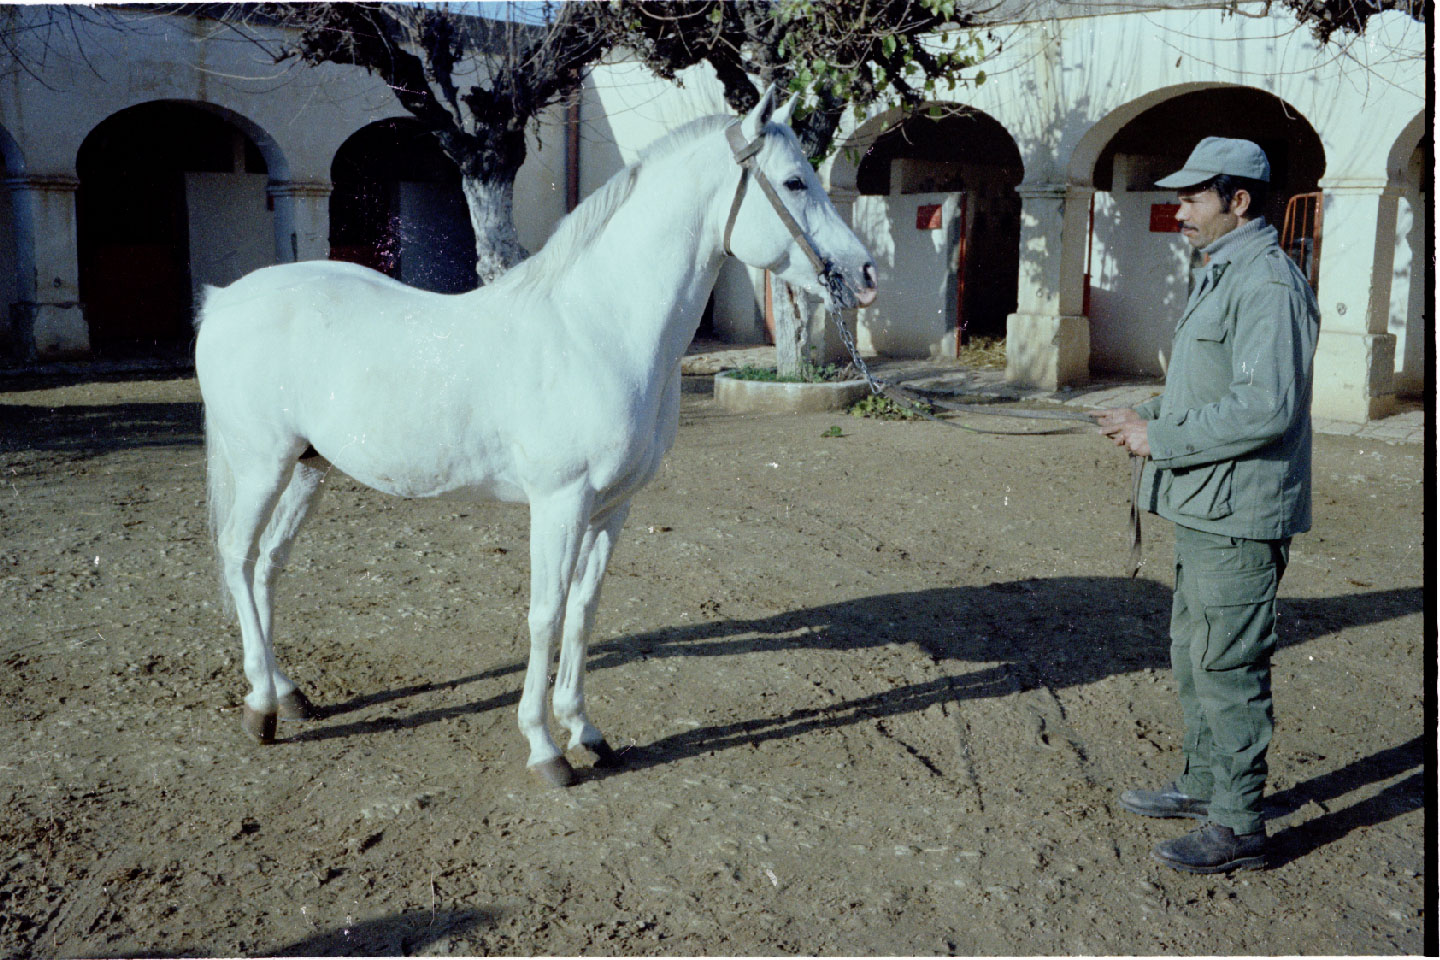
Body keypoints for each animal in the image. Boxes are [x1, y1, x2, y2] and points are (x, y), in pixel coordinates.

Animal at [194, 86, 875, 782]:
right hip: (262, 465)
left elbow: (583, 611)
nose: (865, 274)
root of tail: (224, 300)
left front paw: (586, 731)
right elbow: (545, 617)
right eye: (793, 182)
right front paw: (545, 747)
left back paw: (290, 695)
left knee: (267, 565)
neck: (596, 329)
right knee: (237, 556)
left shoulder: (612, 507)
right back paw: (261, 708)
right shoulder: (560, 502)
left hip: (308, 467)